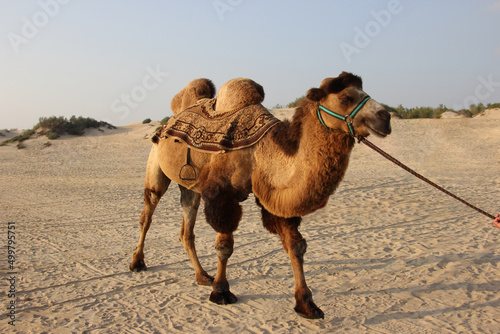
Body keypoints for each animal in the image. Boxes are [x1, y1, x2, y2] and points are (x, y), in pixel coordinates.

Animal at [131, 72, 392, 318]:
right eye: (346, 98)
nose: (386, 117)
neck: (261, 150)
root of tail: (168, 121)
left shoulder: (273, 197)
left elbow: (296, 245)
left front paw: (306, 304)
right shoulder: (222, 193)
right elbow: (224, 246)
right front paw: (221, 291)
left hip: (190, 186)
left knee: (187, 228)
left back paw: (202, 275)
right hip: (155, 164)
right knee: (148, 213)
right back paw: (137, 262)